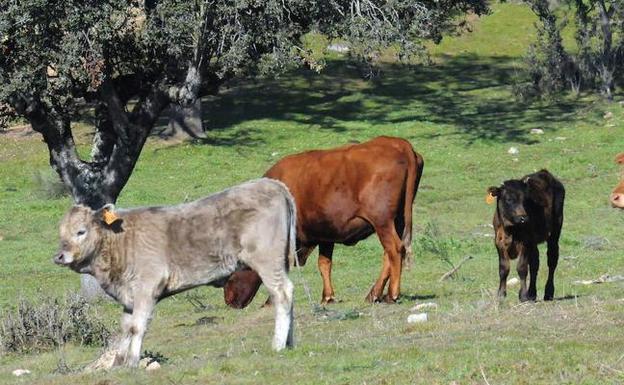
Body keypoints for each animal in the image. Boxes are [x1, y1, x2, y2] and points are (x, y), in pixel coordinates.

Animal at [222, 136, 422, 304]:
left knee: (394, 249)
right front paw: (327, 296)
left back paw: (392, 294)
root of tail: (399, 144)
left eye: (233, 269)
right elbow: (324, 264)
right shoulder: (326, 233)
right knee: (390, 253)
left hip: (382, 222)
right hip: (397, 220)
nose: (229, 300)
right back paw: (374, 294)